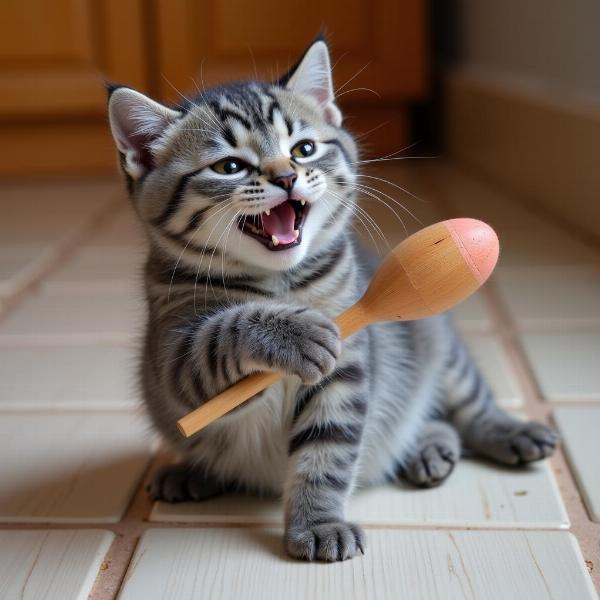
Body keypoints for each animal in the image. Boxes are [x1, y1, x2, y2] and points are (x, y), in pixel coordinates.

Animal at [106, 37, 556, 564]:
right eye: (229, 166)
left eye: (304, 149)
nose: (286, 177)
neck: (280, 283)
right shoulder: (174, 353)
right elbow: (221, 336)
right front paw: (293, 331)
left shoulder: (348, 370)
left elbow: (328, 451)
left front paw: (319, 523)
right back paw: (190, 472)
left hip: (435, 342)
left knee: (463, 407)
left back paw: (481, 437)